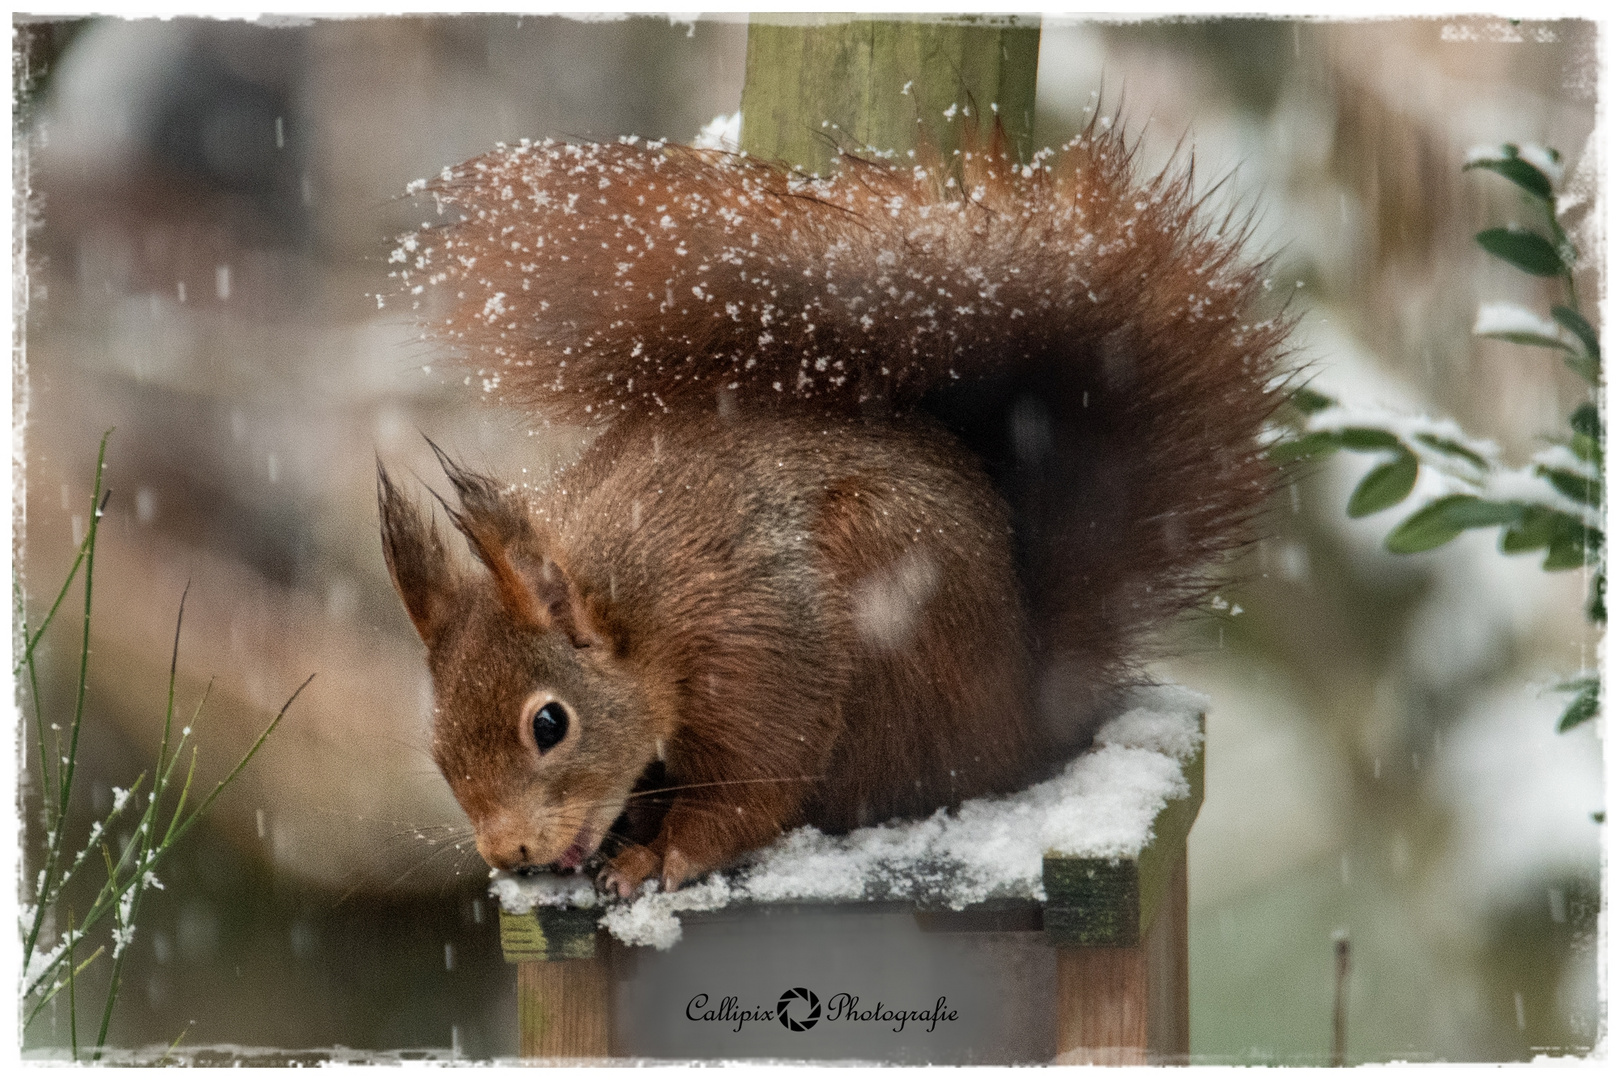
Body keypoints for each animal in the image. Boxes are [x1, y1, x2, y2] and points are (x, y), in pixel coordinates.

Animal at [372, 122, 1283, 893]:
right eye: (438, 740)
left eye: (549, 724)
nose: (510, 854)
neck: (642, 602)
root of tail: (1025, 720)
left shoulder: (760, 647)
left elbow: (755, 786)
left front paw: (661, 856)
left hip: (893, 618)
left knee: (862, 796)